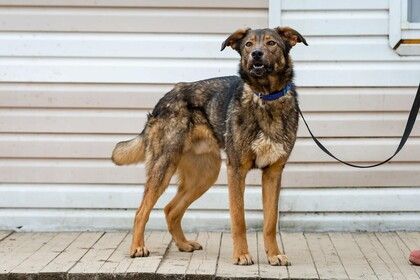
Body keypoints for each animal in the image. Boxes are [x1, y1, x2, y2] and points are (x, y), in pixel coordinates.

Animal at [111, 27, 306, 266]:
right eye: (248, 44)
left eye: (271, 43)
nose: (256, 54)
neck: (265, 97)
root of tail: (163, 100)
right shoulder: (236, 171)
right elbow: (239, 219)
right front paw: (241, 254)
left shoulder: (273, 172)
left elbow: (269, 222)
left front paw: (274, 254)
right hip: (164, 167)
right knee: (141, 211)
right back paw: (138, 247)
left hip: (205, 175)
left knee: (170, 209)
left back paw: (184, 244)